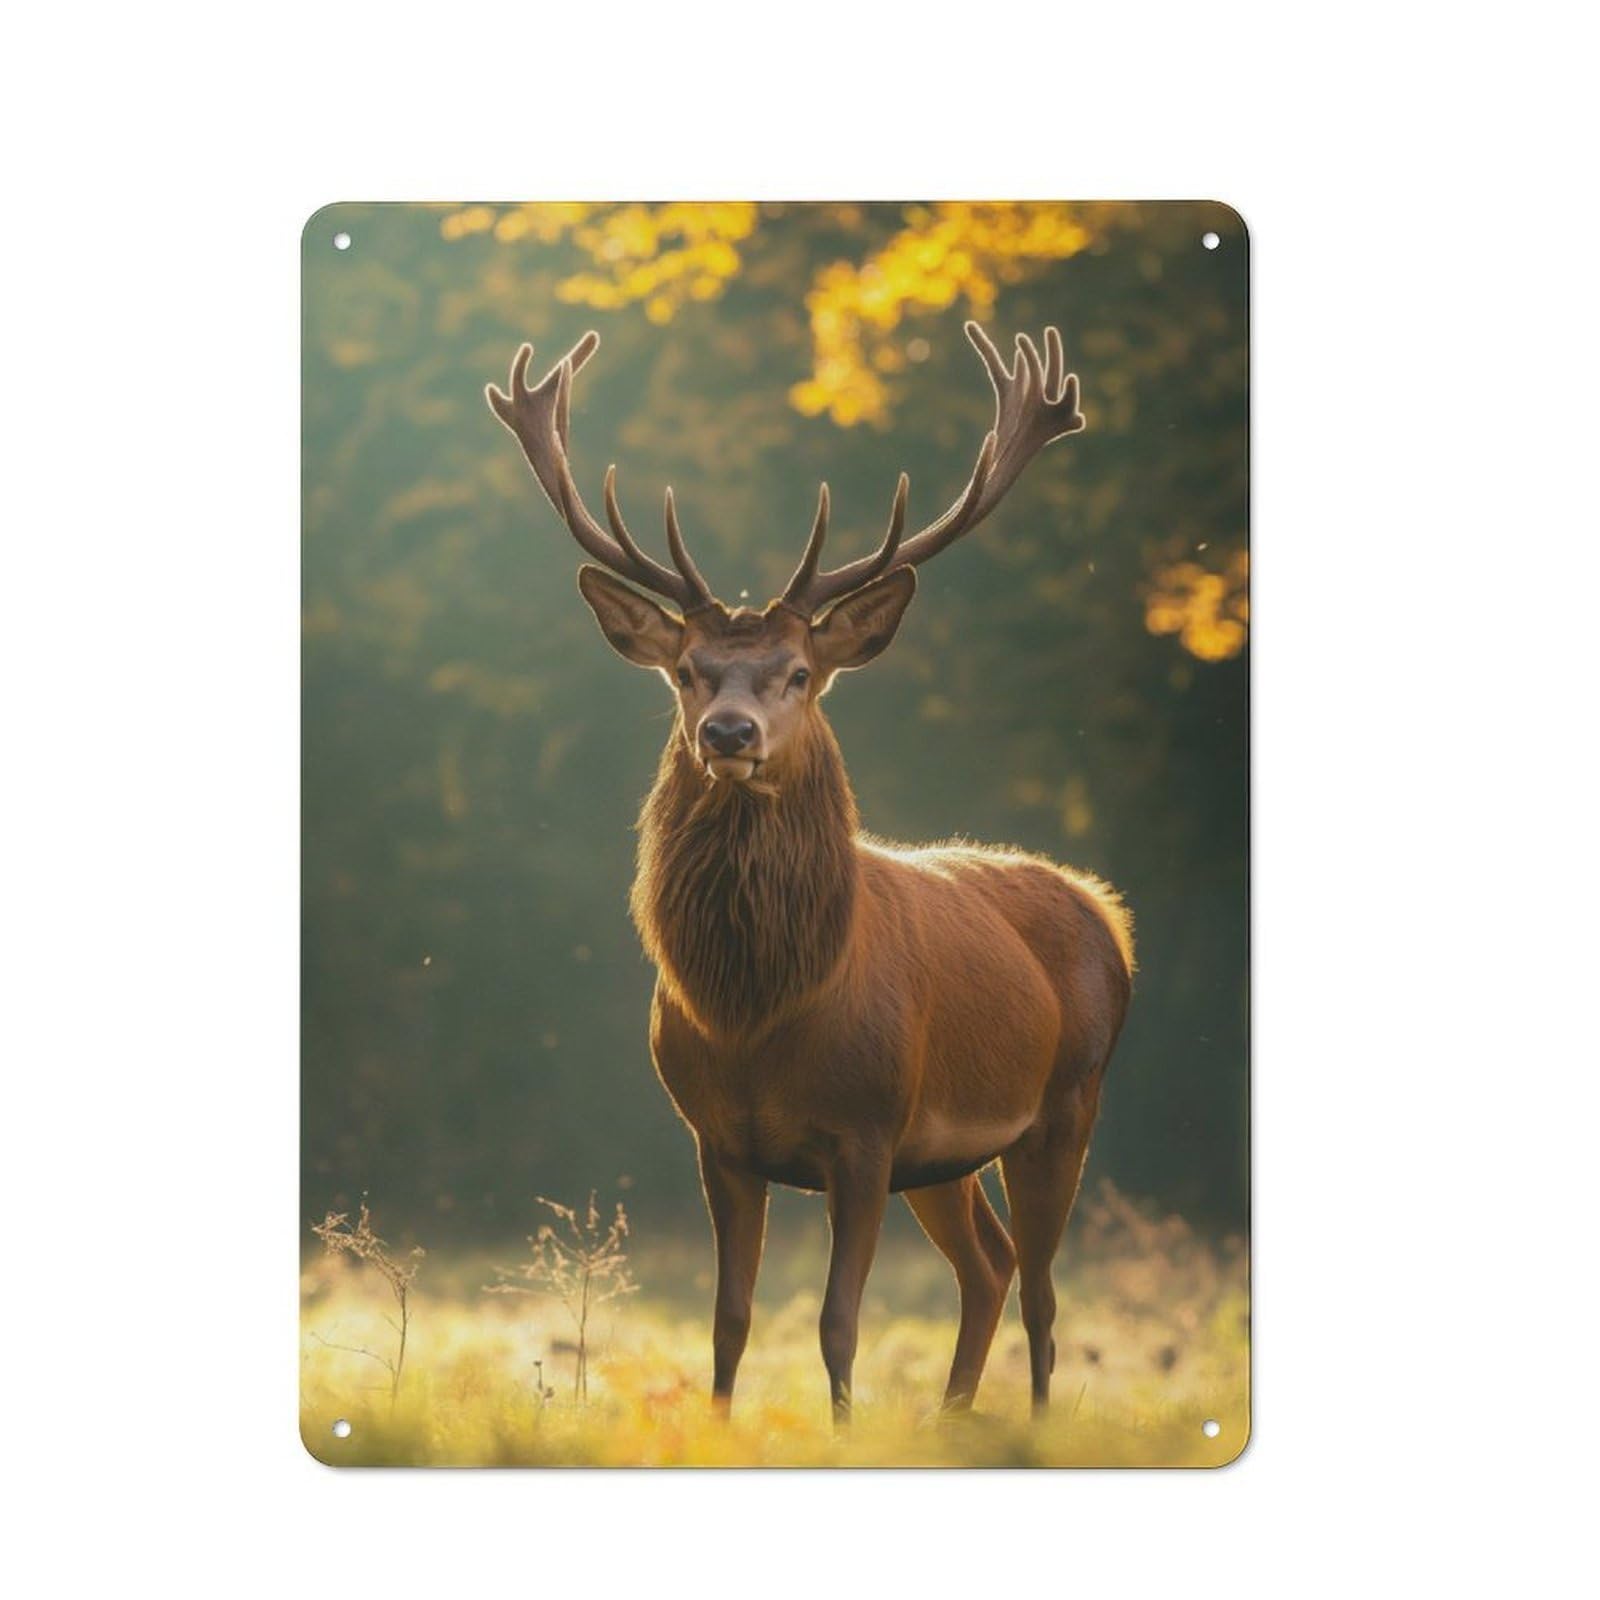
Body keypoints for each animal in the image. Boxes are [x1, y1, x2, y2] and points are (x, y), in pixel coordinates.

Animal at [487, 321, 1133, 1422]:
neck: (762, 1013)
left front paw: (840, 1428)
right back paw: (951, 1419)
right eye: (687, 670)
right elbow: (729, 1319)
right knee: (991, 1266)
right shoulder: (718, 1140)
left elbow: (838, 1322)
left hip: (1065, 1102)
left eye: (798, 673)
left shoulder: (867, 1131)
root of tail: (1105, 910)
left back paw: (1034, 1423)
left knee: (1045, 1291)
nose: (728, 731)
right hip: (947, 1157)